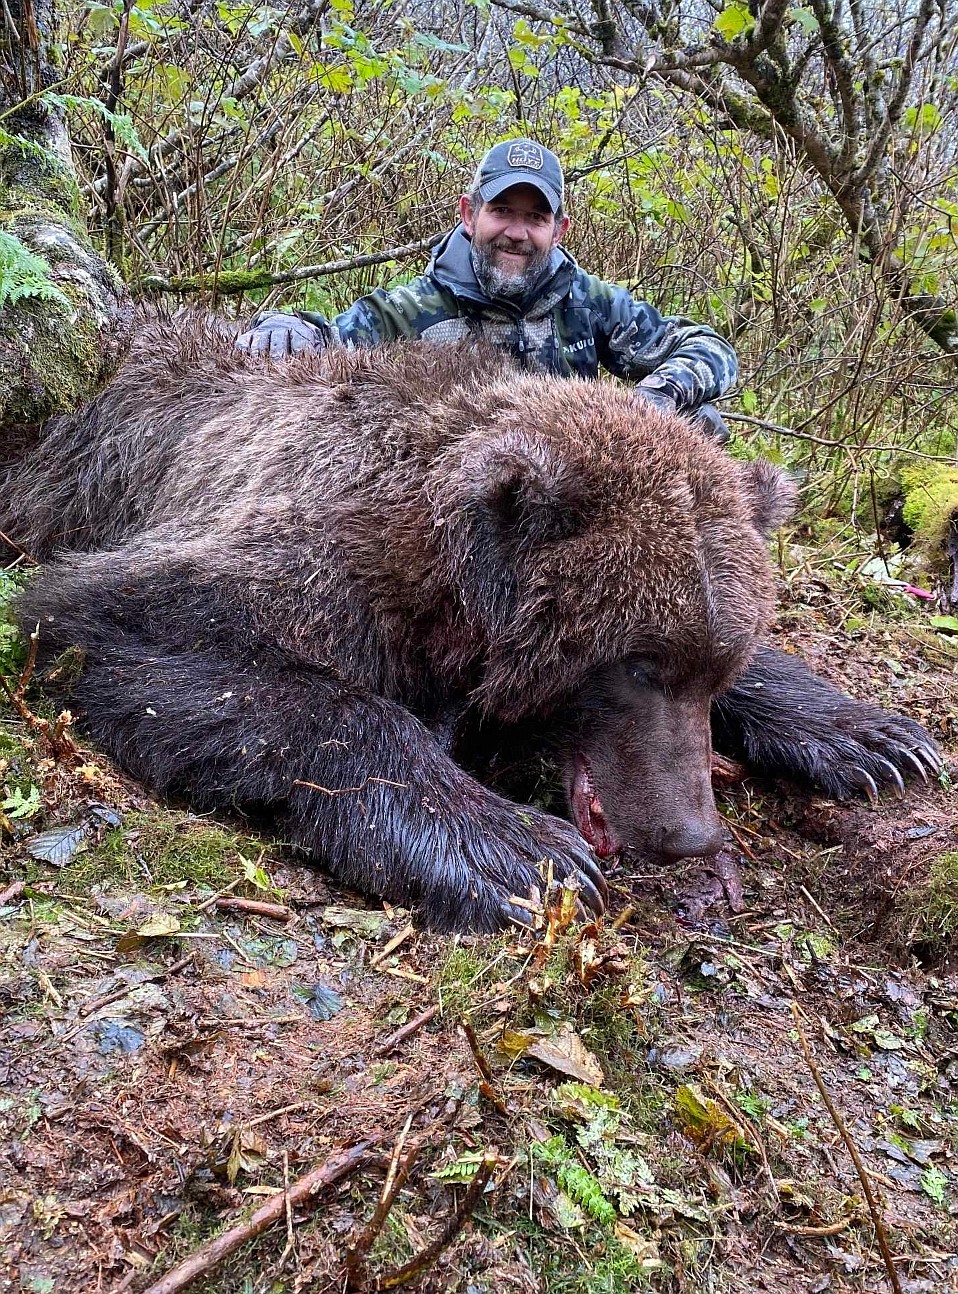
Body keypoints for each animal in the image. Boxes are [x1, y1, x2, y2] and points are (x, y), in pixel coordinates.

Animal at [1, 314, 942, 931]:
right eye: (636, 661)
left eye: (714, 663)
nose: (690, 835)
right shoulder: (300, 547)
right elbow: (124, 627)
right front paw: (520, 851)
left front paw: (874, 738)